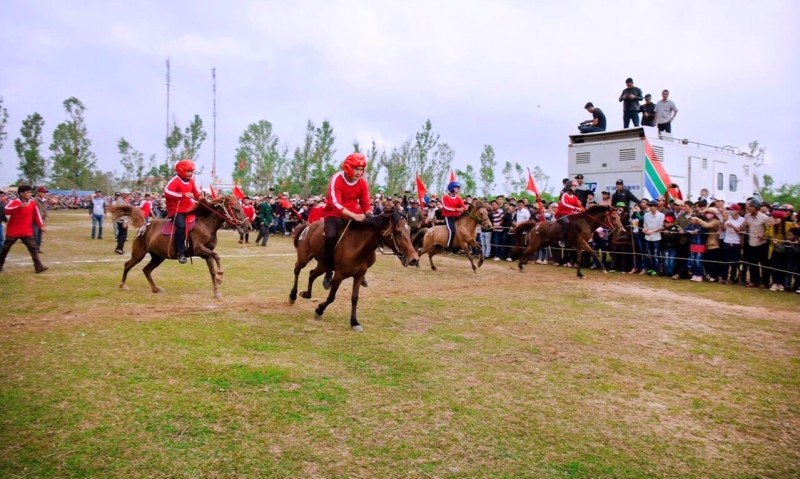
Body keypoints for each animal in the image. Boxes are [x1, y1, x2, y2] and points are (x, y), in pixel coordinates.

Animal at [111, 196, 245, 300]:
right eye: (236, 209)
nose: (247, 226)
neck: (205, 224)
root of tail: (143, 226)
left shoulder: (206, 253)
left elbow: (212, 270)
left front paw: (217, 291)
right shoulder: (199, 249)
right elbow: (217, 256)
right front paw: (220, 275)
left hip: (157, 257)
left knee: (146, 270)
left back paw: (155, 288)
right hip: (139, 253)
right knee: (128, 265)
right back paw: (123, 285)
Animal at [290, 206, 422, 334]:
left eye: (409, 231)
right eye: (398, 232)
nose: (414, 259)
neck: (357, 245)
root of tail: (308, 226)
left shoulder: (359, 275)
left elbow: (354, 298)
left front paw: (354, 322)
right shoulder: (338, 275)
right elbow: (331, 297)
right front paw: (319, 310)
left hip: (322, 265)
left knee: (312, 274)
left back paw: (306, 294)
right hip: (304, 258)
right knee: (297, 269)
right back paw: (293, 295)